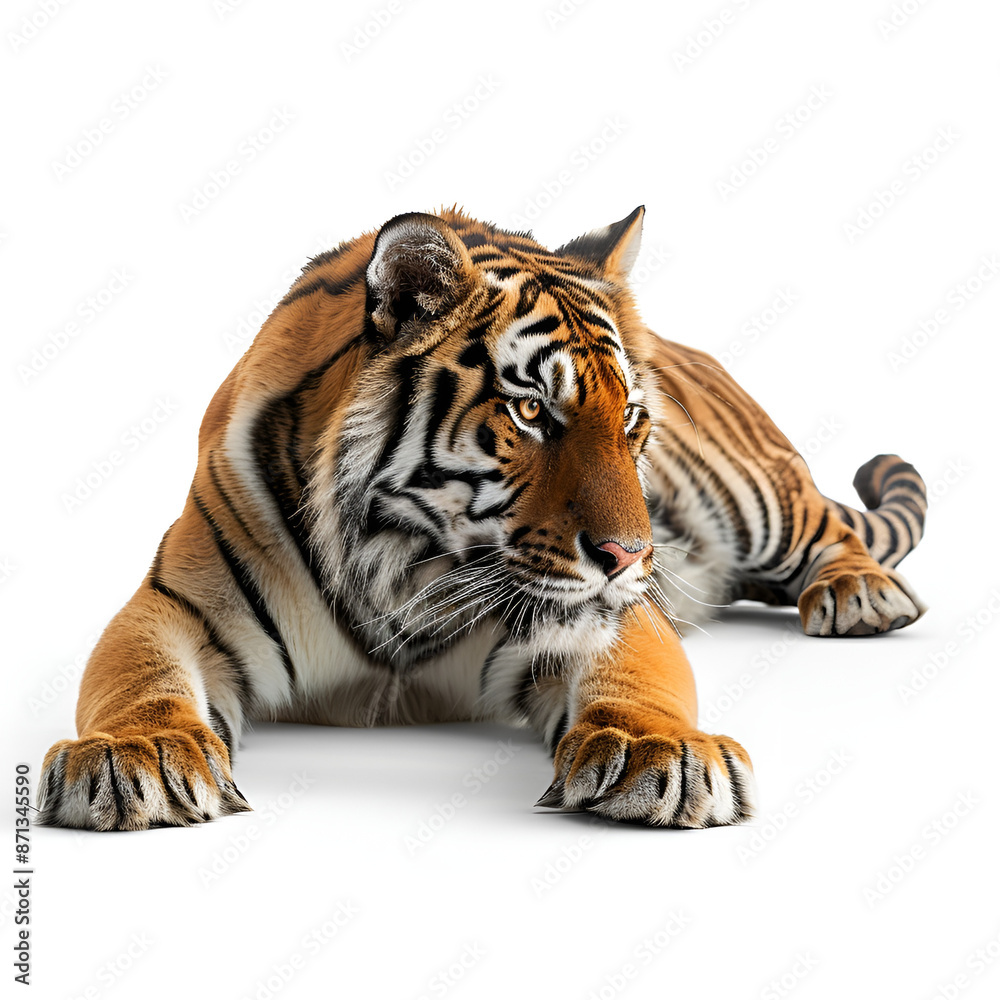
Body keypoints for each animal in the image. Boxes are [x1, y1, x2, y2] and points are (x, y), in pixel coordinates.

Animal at [37, 206, 927, 831]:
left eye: (630, 419)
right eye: (531, 411)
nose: (630, 555)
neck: (404, 564)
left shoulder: (608, 613)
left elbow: (637, 679)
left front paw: (659, 753)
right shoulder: (173, 606)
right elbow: (138, 678)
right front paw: (135, 755)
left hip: (753, 495)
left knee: (827, 527)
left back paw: (859, 596)